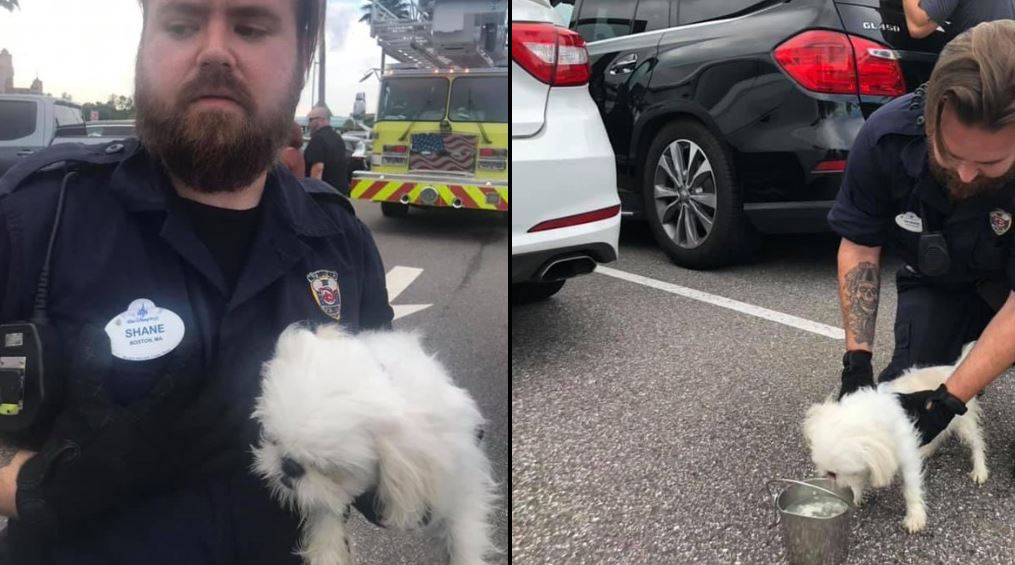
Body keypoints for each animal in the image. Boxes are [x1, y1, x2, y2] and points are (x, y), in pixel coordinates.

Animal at [249, 324, 495, 563]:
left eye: (330, 471)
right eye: (273, 440)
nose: (288, 466)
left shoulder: (459, 482)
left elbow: (463, 536)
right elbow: (325, 510)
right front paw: (326, 553)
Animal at [799, 340, 982, 531]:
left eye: (833, 474)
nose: (830, 483)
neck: (871, 414)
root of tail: (953, 368)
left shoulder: (907, 459)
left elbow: (911, 490)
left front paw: (915, 517)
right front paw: (857, 496)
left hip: (964, 424)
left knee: (977, 441)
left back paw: (980, 470)